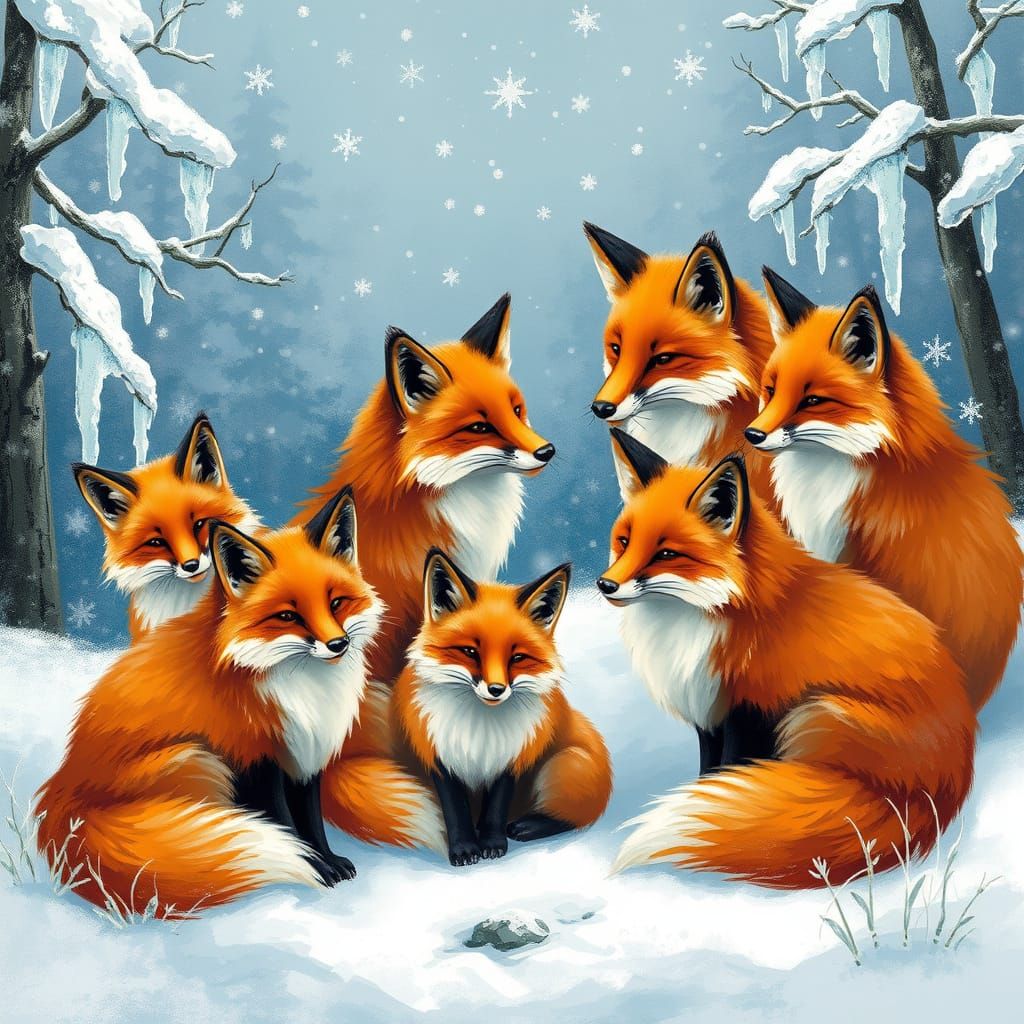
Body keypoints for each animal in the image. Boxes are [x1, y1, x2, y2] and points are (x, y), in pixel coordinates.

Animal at [36, 488, 387, 915]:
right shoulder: (254, 759)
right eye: (288, 616)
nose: (338, 644)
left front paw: (330, 860)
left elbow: (311, 821)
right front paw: (316, 869)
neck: (301, 688)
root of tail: (61, 793)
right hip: (200, 760)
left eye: (336, 603)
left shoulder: (307, 753)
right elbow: (289, 826)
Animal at [325, 550, 612, 866]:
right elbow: (455, 809)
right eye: (470, 652)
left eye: (517, 658)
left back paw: (528, 825)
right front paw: (464, 849)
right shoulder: (436, 752)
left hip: (568, 764)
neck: (479, 728)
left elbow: (495, 808)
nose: (496, 689)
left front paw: (492, 844)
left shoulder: (513, 755)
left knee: (576, 815)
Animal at [597, 429, 975, 889]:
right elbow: (708, 774)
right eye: (624, 541)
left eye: (667, 554)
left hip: (813, 713)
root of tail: (942, 791)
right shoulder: (707, 709)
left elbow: (726, 773)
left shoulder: (750, 711)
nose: (605, 585)